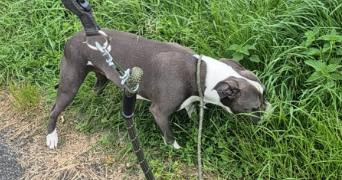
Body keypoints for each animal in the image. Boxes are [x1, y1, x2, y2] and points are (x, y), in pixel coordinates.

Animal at [46, 29, 270, 149]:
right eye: (253, 109)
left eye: (264, 96)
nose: (270, 111)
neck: (200, 73)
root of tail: (73, 37)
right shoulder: (159, 112)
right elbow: (169, 136)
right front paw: (177, 149)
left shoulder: (189, 99)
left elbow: (190, 109)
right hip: (70, 84)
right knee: (54, 110)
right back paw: (51, 136)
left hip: (101, 75)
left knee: (97, 86)